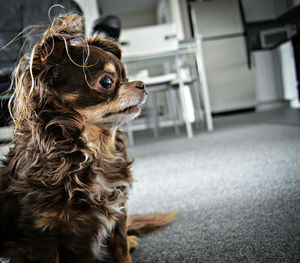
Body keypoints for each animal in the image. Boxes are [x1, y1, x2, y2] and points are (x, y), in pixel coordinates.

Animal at [0, 13, 178, 262]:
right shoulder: (43, 235)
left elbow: (121, 247)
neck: (96, 151)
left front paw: (127, 247)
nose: (142, 84)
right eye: (107, 82)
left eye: (126, 76)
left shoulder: (118, 210)